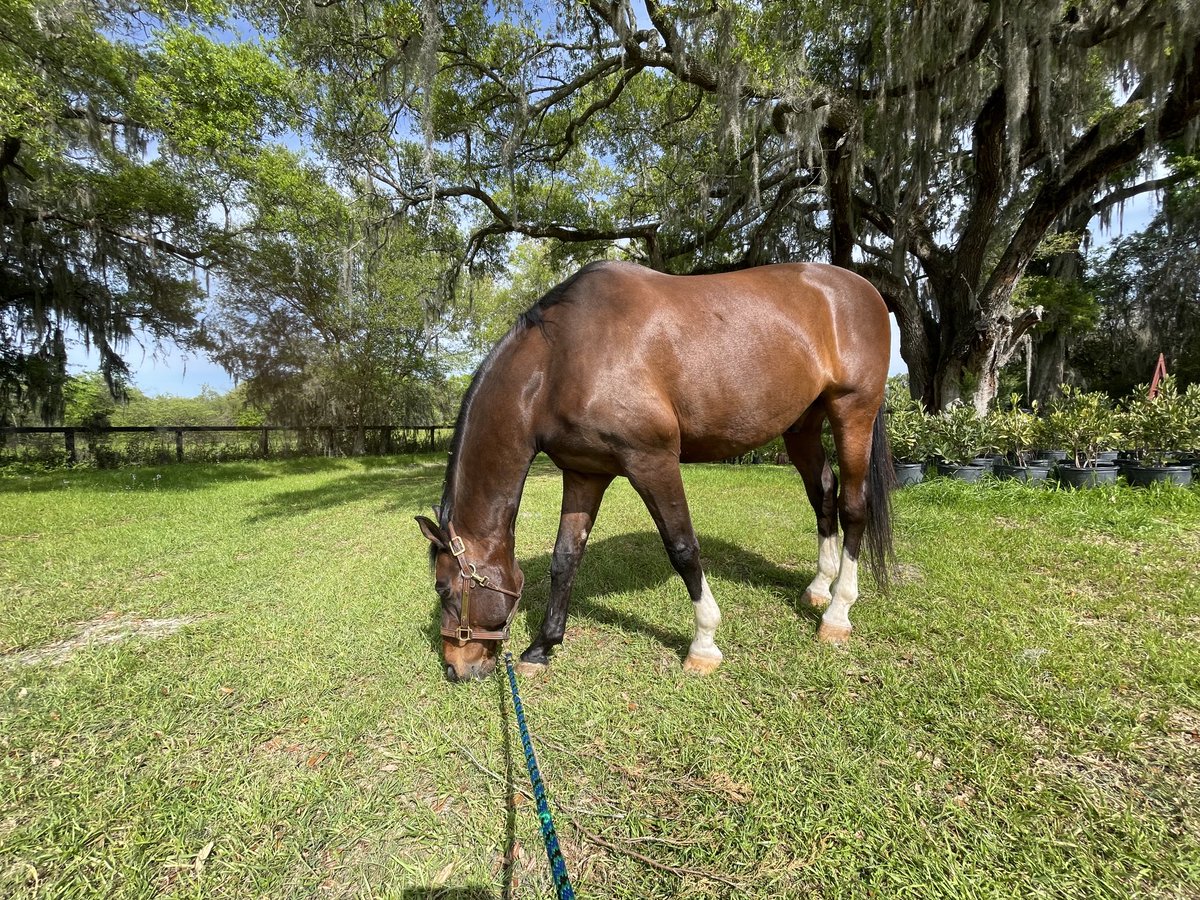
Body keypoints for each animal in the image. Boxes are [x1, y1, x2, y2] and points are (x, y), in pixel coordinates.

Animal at [417, 260, 897, 681]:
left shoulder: (653, 461)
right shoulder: (584, 474)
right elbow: (565, 559)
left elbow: (682, 548)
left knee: (853, 507)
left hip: (853, 412)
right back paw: (818, 588)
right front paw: (542, 648)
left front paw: (703, 644)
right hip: (802, 426)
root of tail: (863, 289)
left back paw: (837, 614)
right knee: (824, 492)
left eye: (443, 588)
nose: (455, 669)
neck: (560, 361)